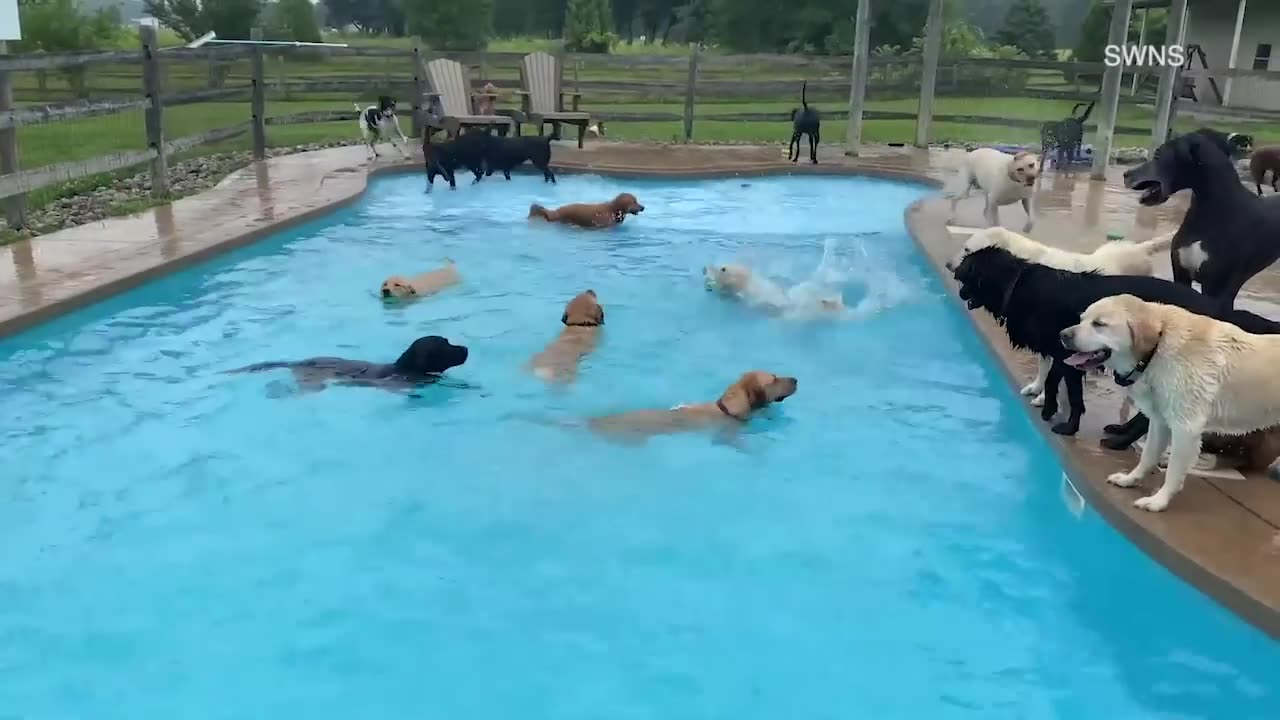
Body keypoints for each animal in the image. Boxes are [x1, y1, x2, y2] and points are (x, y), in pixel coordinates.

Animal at [1054, 295, 1280, 509]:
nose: (1062, 335)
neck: (1156, 348)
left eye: (1099, 324)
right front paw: (1130, 480)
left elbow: (1173, 471)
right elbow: (1147, 456)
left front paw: (1158, 501)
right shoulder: (1160, 422)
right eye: (1082, 318)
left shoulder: (1185, 428)